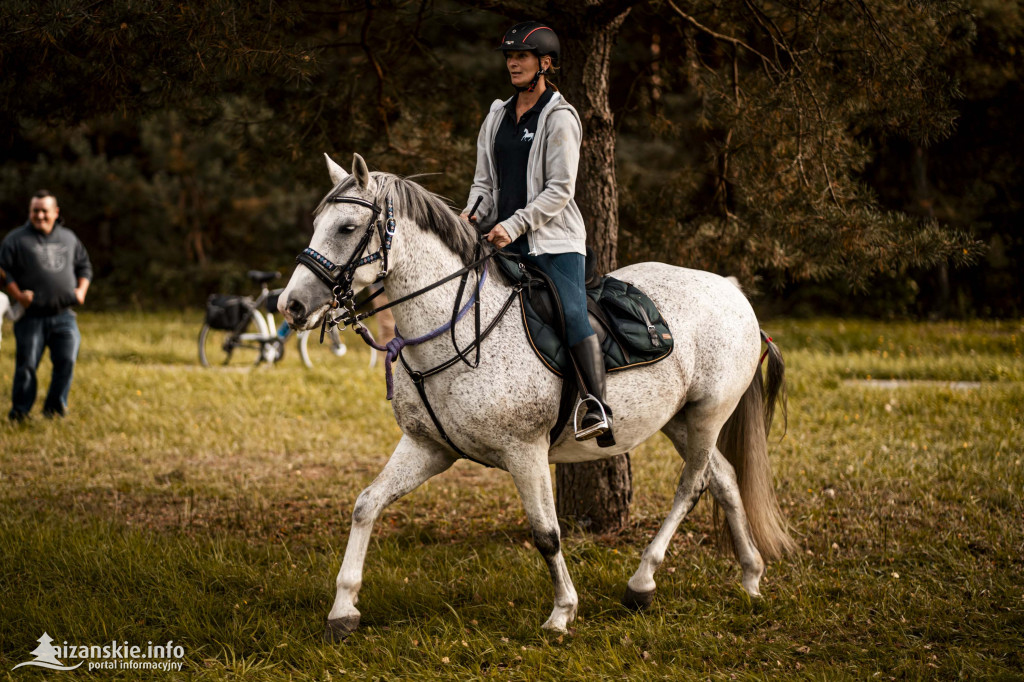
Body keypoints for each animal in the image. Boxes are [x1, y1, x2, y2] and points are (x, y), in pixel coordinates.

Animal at [280, 153, 798, 638]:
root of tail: (731, 290)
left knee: (692, 486)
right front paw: (343, 609)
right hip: (679, 420)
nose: (292, 305)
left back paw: (642, 582)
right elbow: (366, 504)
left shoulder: (524, 452)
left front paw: (562, 613)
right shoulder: (428, 447)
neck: (458, 332)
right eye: (317, 223)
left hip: (709, 413)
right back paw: (750, 577)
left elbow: (547, 534)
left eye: (347, 227)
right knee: (725, 479)